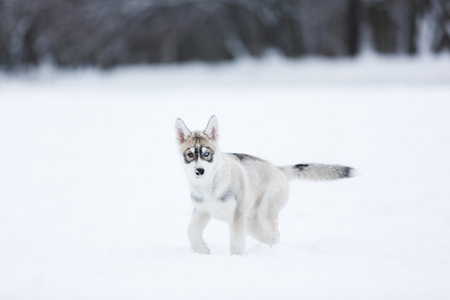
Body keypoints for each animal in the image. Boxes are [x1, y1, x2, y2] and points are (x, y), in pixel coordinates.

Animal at [176, 116, 356, 254]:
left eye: (207, 153)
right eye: (190, 154)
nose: (199, 171)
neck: (209, 186)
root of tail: (279, 169)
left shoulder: (237, 216)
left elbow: (236, 244)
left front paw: (236, 258)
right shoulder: (202, 210)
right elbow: (190, 230)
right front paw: (201, 249)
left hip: (265, 212)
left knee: (273, 236)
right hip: (251, 222)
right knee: (267, 238)